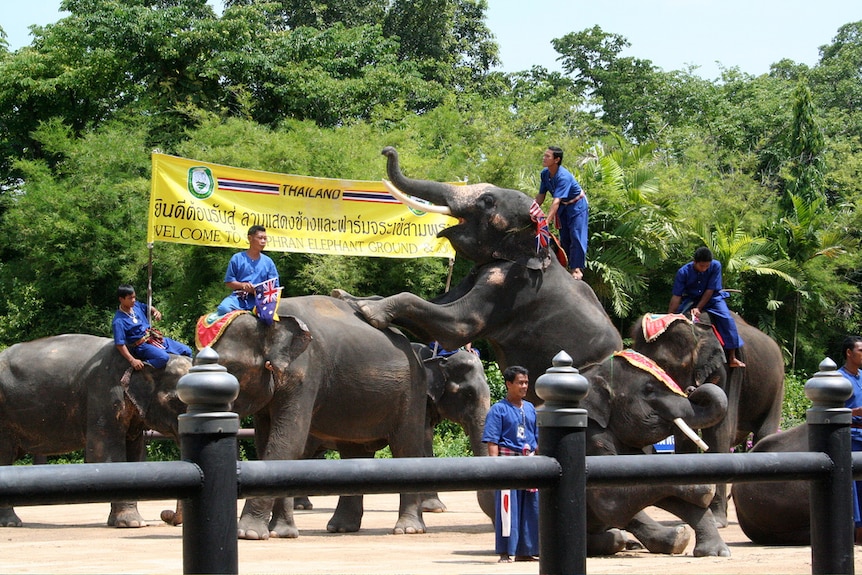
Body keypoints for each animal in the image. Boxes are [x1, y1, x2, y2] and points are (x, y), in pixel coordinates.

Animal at [0, 336, 191, 528]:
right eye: (176, 400)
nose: (165, 514)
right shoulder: (103, 394)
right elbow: (106, 454)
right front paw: (131, 523)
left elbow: (133, 456)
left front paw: (130, 522)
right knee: (5, 456)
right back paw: (11, 523)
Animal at [334, 145, 624, 404]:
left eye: (487, 201)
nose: (387, 150)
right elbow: (440, 302)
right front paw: (347, 297)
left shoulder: (513, 287)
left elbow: (459, 324)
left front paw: (370, 312)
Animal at [576, 352, 732, 560]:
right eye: (649, 390)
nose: (692, 389)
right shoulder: (591, 437)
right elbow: (610, 500)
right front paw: (705, 488)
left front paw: (717, 553)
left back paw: (674, 538)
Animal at [632, 312, 788, 528]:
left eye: (665, 367)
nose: (691, 390)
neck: (698, 331)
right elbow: (684, 436)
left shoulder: (726, 372)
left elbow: (718, 433)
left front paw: (716, 521)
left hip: (777, 385)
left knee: (764, 434)